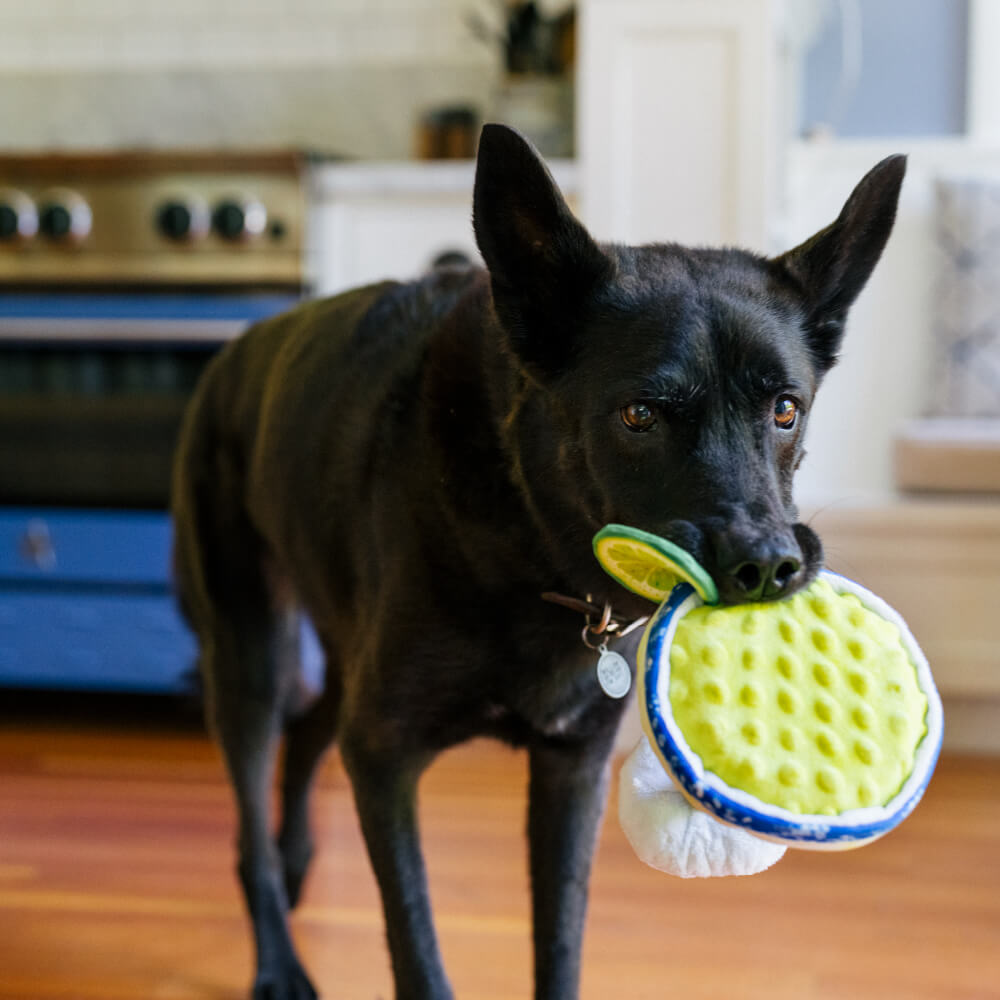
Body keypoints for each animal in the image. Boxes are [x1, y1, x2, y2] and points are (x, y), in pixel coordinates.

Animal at [172, 127, 908, 1000]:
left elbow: (560, 938)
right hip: (248, 656)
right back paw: (278, 955)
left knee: (314, 726)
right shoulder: (385, 757)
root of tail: (232, 355)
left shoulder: (570, 769)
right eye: (640, 414)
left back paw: (295, 866)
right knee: (255, 799)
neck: (535, 548)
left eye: (786, 410)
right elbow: (416, 945)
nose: (766, 566)